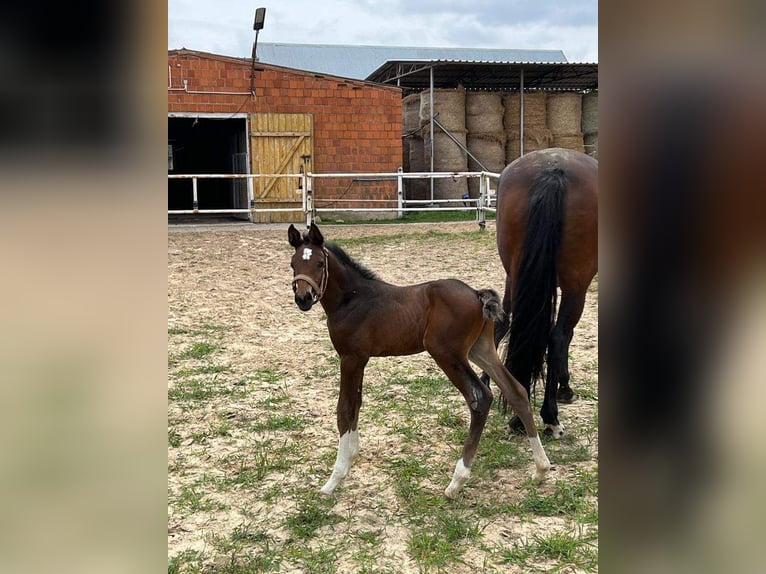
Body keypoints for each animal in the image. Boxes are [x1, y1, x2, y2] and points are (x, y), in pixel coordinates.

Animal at [290, 224, 552, 500]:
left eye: (320, 264)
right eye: (293, 264)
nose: (303, 298)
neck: (351, 299)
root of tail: (476, 294)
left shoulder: (350, 358)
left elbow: (345, 409)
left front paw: (334, 480)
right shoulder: (360, 360)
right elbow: (356, 405)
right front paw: (351, 457)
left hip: (447, 353)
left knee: (481, 399)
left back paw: (456, 482)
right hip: (480, 349)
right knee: (516, 391)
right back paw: (540, 469)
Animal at [492, 150, 600, 440]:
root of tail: (553, 169)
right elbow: (565, 336)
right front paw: (565, 388)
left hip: (515, 274)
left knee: (506, 323)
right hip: (576, 286)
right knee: (557, 335)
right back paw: (550, 417)